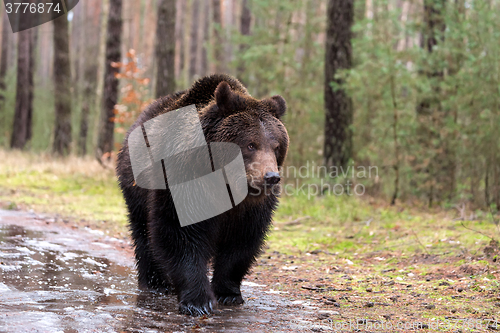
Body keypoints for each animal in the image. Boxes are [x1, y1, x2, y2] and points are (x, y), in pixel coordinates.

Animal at [116, 74, 290, 316]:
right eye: (250, 144)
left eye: (276, 146)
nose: (271, 177)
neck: (226, 183)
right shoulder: (185, 183)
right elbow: (179, 234)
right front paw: (198, 301)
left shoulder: (251, 208)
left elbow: (242, 241)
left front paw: (228, 293)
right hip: (135, 185)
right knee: (143, 232)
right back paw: (156, 282)